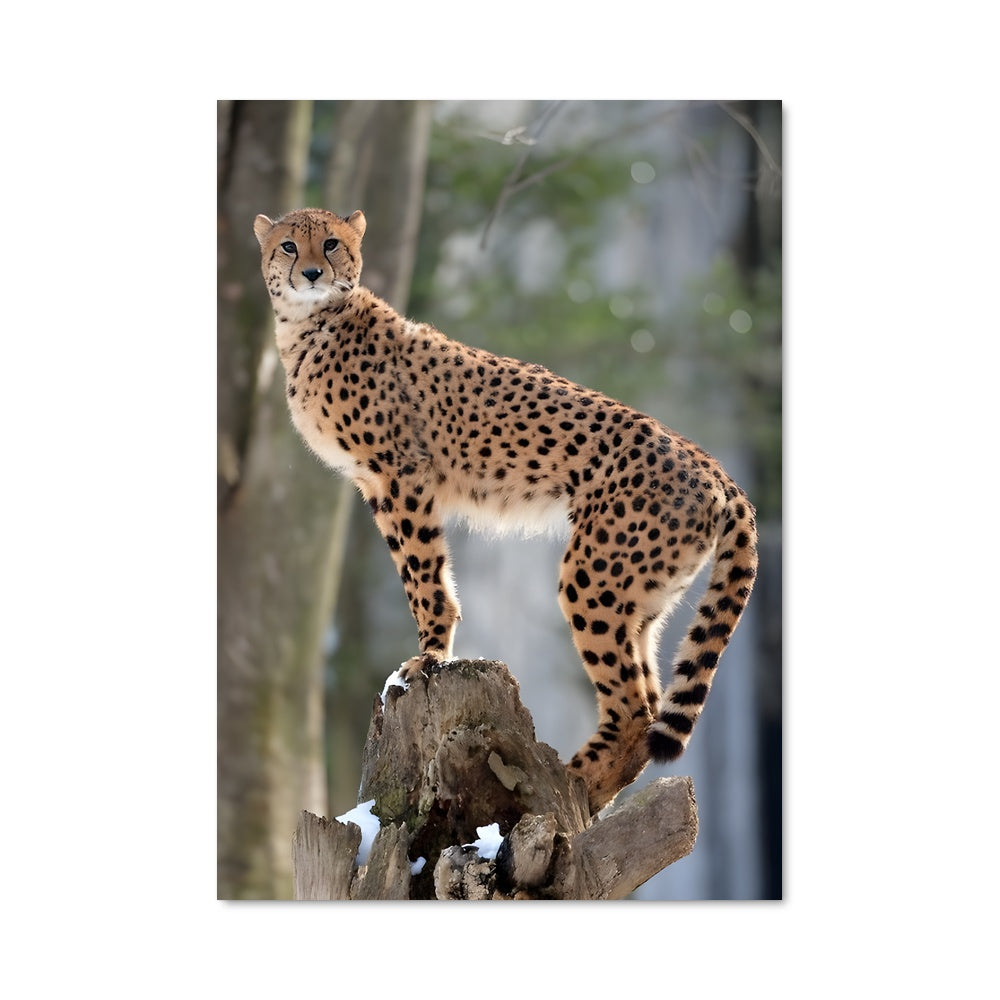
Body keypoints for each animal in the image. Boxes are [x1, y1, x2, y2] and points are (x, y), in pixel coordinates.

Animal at [253, 207, 758, 814]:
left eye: (330, 243)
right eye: (288, 245)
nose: (310, 272)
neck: (307, 324)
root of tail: (713, 466)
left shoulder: (400, 472)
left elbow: (423, 574)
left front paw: (429, 657)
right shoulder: (377, 483)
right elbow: (420, 570)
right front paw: (432, 652)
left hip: (593, 577)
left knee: (635, 709)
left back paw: (567, 784)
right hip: (643, 597)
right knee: (651, 697)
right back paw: (582, 792)